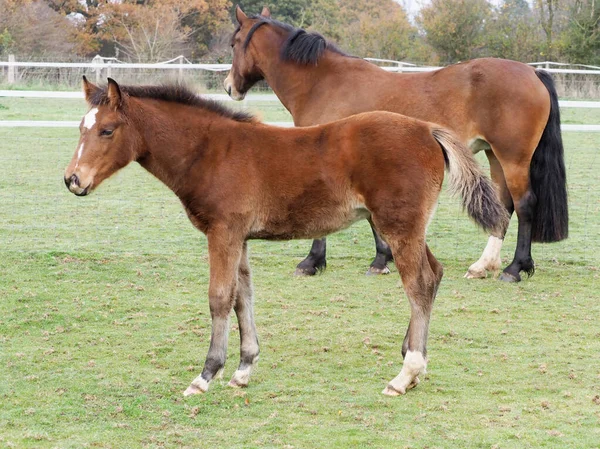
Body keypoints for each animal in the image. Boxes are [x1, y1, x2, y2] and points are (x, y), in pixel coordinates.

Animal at [64, 78, 506, 396]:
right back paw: (414, 361)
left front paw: (205, 375)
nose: (73, 180)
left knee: (419, 284)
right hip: (408, 228)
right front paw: (243, 369)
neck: (210, 151)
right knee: (434, 274)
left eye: (107, 130)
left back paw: (405, 374)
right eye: (81, 128)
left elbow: (219, 298)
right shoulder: (239, 236)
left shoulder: (222, 232)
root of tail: (427, 129)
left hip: (399, 227)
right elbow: (243, 296)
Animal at [224, 6, 568, 280]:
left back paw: (515, 269)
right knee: (503, 205)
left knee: (525, 205)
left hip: (513, 158)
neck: (325, 82)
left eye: (233, 44)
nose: (229, 87)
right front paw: (382, 259)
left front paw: (312, 261)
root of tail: (532, 72)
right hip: (495, 156)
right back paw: (483, 265)